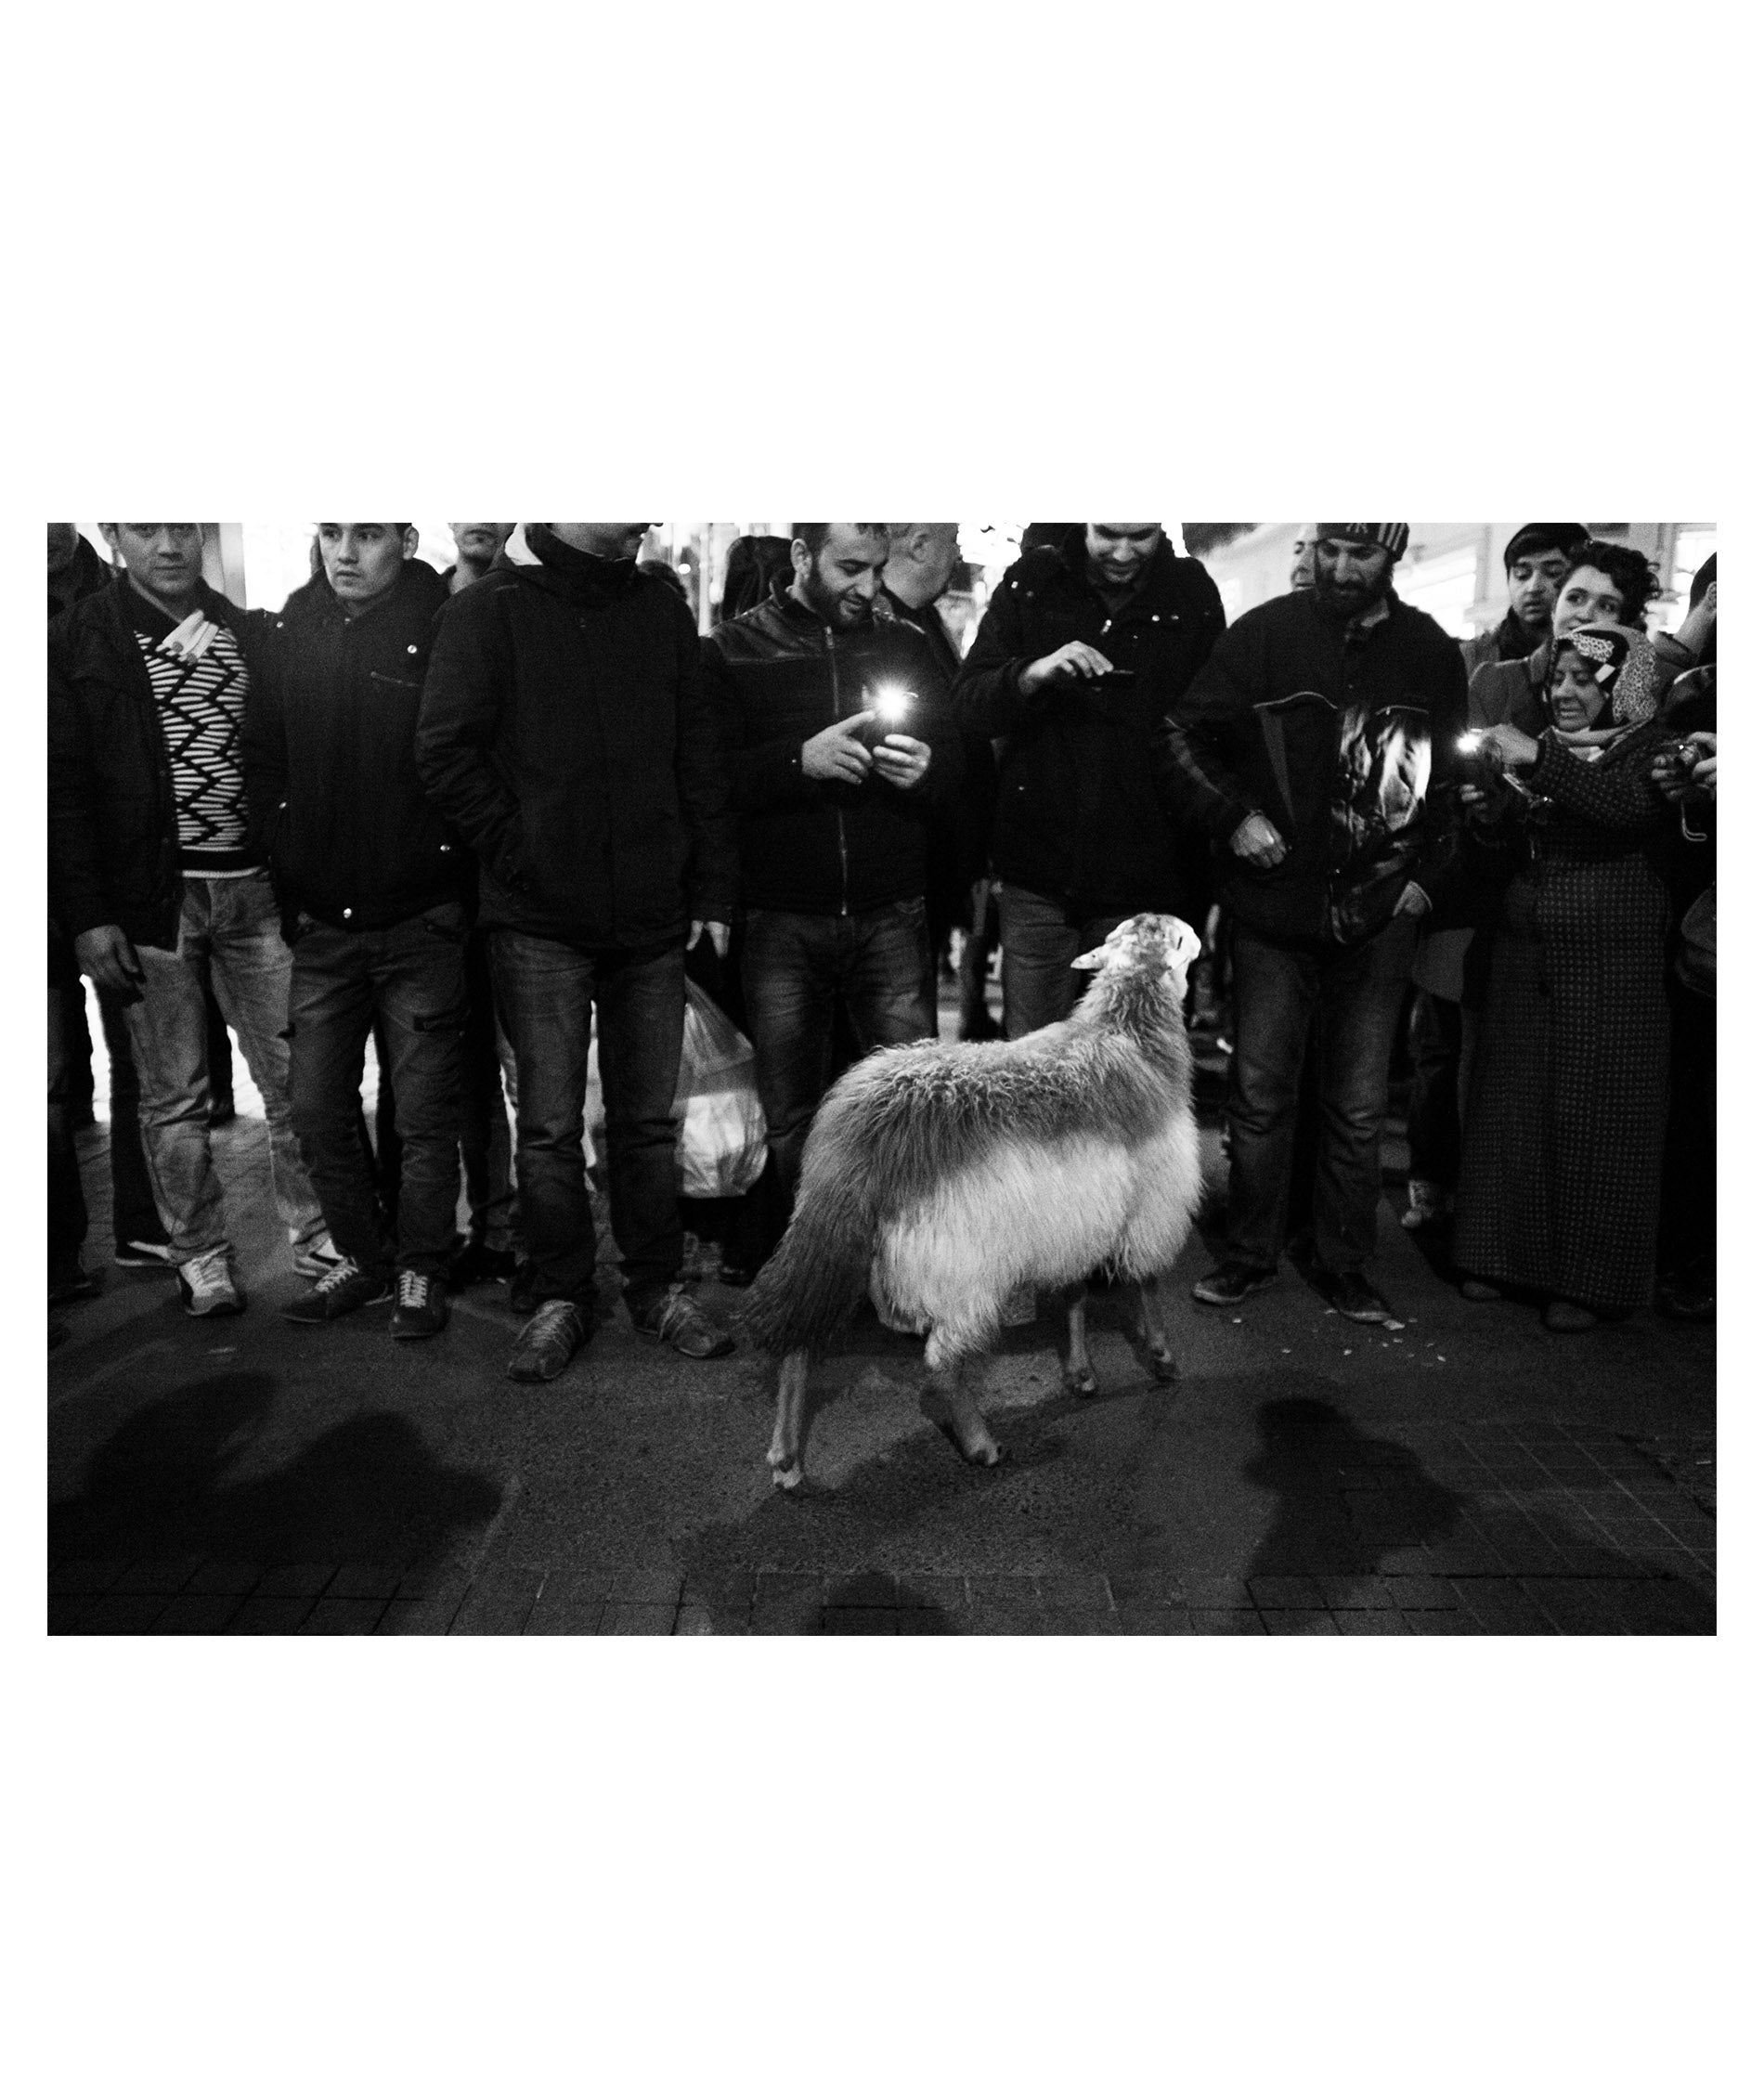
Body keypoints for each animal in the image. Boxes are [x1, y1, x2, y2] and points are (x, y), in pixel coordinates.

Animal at [735, 915, 1203, 1487]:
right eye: (1179, 936)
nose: (1195, 937)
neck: (1127, 1027)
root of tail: (864, 1128)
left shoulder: (1078, 1215)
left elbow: (1074, 1292)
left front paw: (1080, 1371)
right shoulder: (1151, 1204)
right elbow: (1147, 1285)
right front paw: (1161, 1356)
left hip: (835, 1236)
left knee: (801, 1336)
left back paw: (786, 1457)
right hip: (963, 1265)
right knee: (942, 1363)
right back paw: (980, 1443)